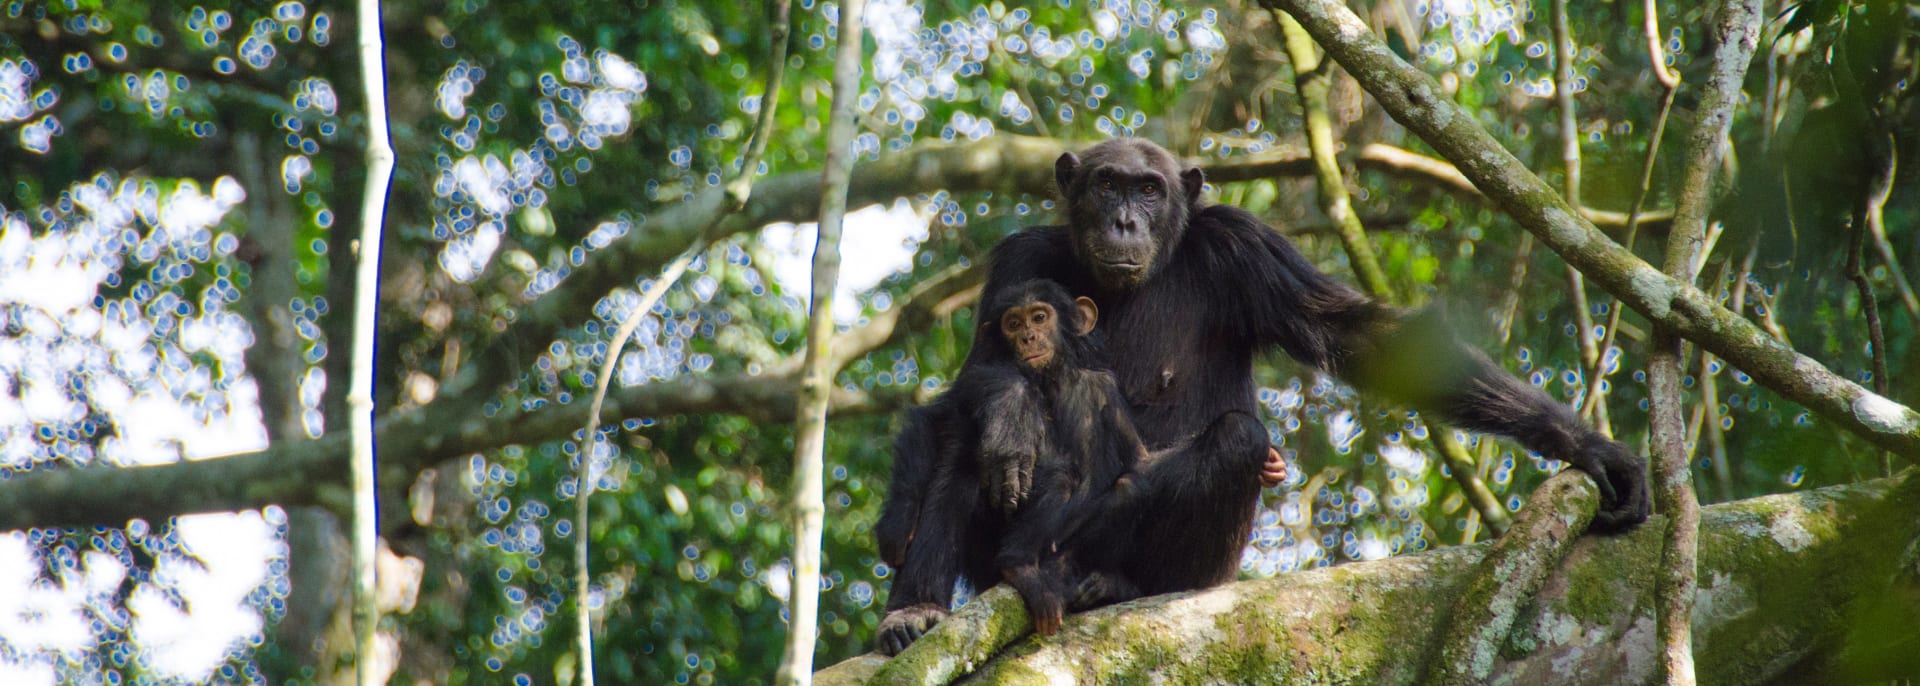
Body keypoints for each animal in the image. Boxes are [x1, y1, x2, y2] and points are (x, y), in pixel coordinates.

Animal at [879, 134, 1651, 653]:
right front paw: (1010, 415)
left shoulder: (1244, 247)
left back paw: (1107, 583)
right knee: (964, 442)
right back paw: (916, 613)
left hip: (1200, 570)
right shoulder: (1020, 257)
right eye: (1106, 185)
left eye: (1149, 190)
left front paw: (1588, 448)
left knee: (1237, 440)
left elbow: (1361, 335)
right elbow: (976, 377)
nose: (1125, 219)